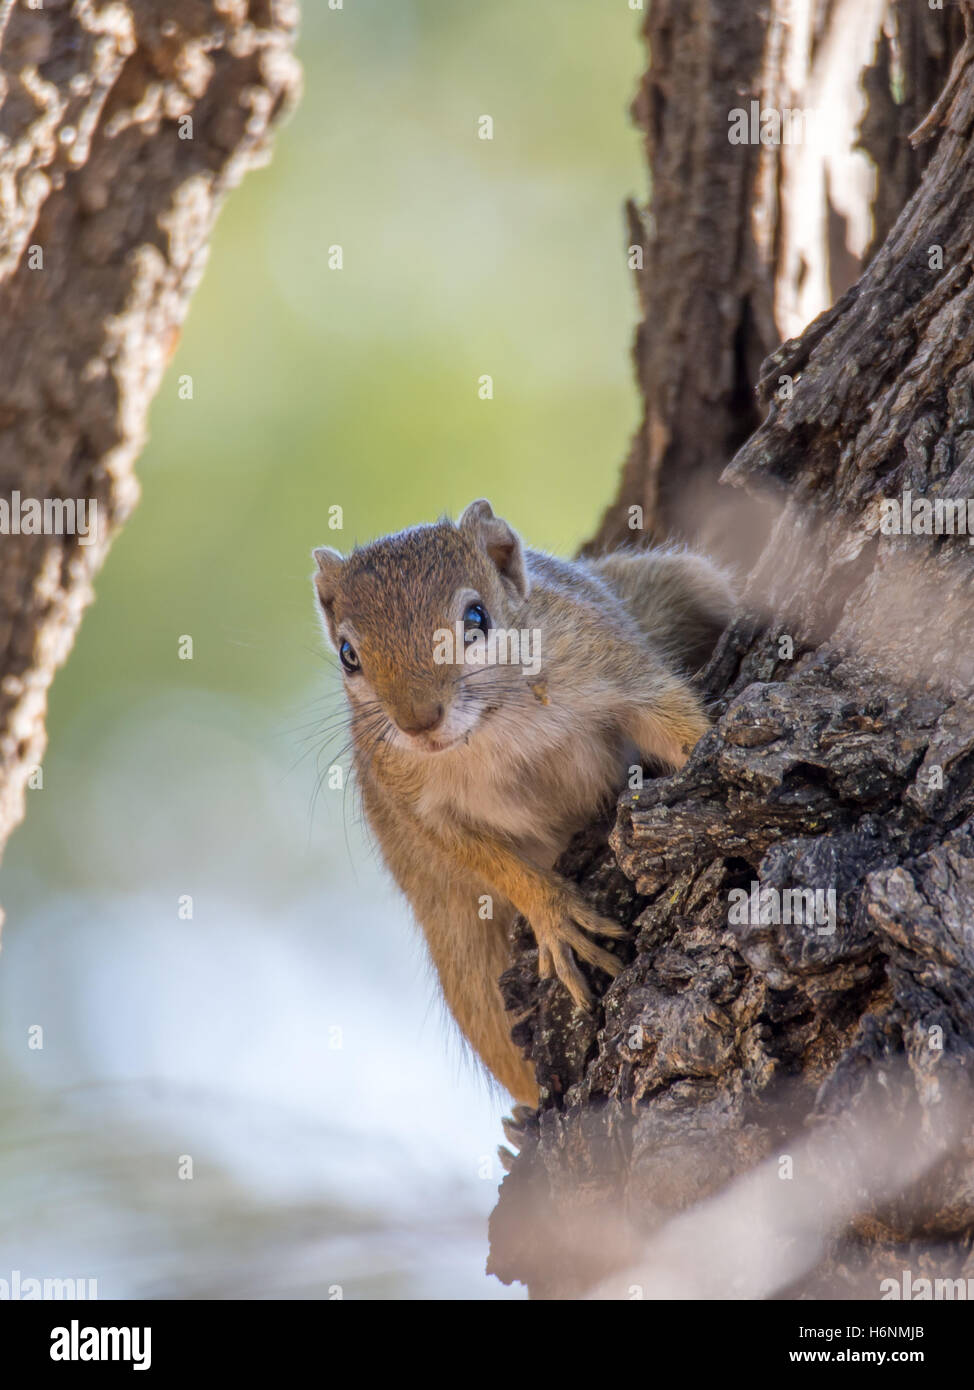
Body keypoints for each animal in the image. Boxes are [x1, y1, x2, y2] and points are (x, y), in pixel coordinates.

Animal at [309, 503, 728, 1106]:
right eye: (348, 656)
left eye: (477, 618)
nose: (418, 722)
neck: (492, 728)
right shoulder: (414, 802)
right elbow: (481, 856)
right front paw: (552, 913)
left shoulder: (609, 663)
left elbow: (670, 718)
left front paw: (717, 746)